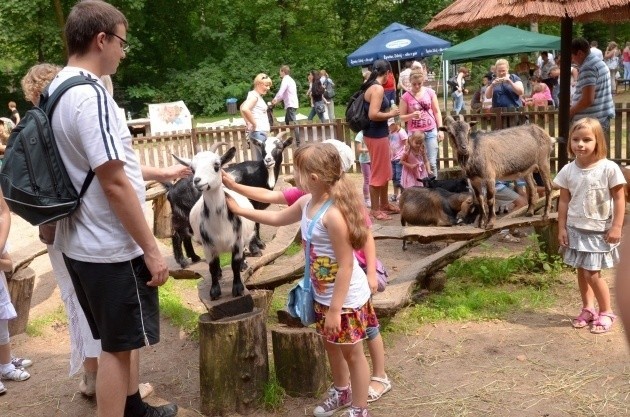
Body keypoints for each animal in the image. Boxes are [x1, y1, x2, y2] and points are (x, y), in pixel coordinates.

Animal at [174, 146, 256, 300]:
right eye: (192, 169)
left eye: (217, 165)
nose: (197, 181)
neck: (220, 225)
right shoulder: (208, 246)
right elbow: (212, 266)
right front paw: (214, 291)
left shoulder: (237, 242)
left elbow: (235, 264)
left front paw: (238, 289)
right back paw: (218, 274)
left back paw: (243, 265)